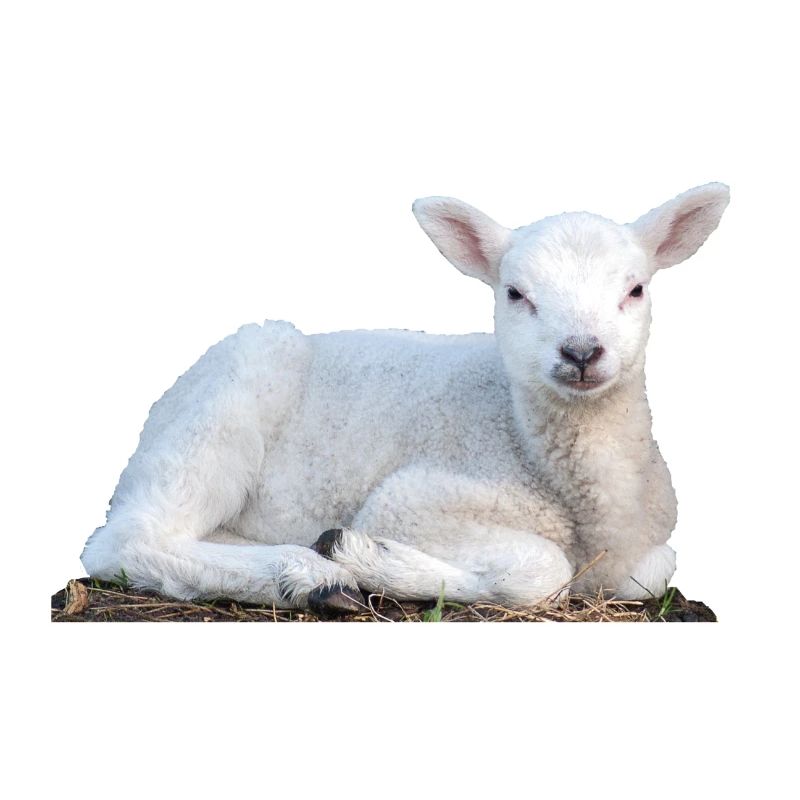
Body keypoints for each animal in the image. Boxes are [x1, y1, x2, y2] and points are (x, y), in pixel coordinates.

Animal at [80, 183, 729, 615]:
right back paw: (308, 576)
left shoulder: (646, 549)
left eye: (636, 289)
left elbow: (654, 572)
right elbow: (545, 570)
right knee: (126, 539)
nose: (582, 351)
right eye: (515, 294)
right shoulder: (415, 499)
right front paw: (367, 557)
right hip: (227, 398)